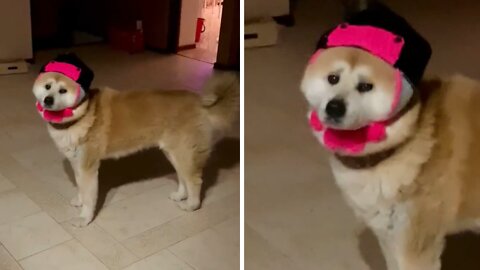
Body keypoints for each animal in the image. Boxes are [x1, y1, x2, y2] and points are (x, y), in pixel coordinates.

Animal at [31, 64, 238, 227]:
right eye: (48, 86)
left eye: (63, 91)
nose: (48, 100)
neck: (82, 114)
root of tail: (200, 103)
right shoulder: (77, 163)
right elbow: (80, 187)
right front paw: (79, 201)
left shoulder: (88, 167)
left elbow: (89, 197)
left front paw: (84, 218)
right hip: (174, 153)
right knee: (183, 177)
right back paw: (181, 195)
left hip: (184, 153)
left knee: (195, 180)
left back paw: (191, 205)